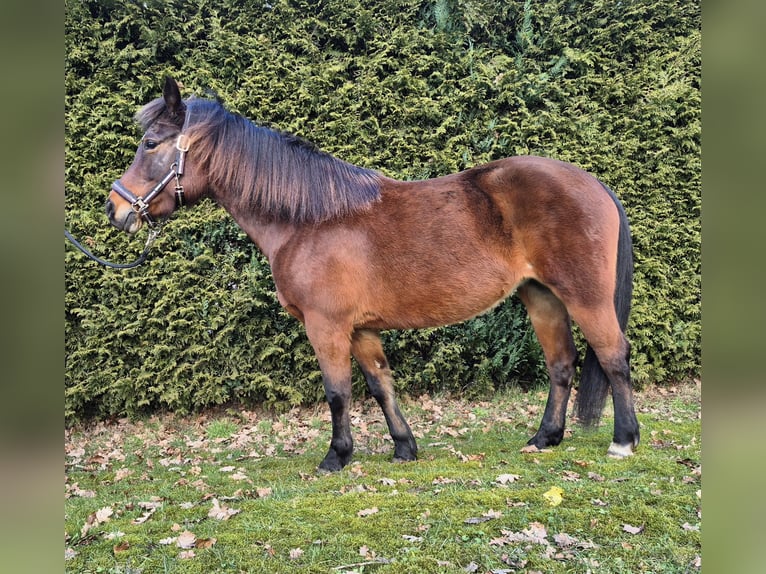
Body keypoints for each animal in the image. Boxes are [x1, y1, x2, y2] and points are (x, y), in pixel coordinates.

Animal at [105, 77, 640, 472]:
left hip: (584, 297)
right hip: (541, 296)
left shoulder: (326, 326)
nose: (116, 209)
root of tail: (595, 184)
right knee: (561, 363)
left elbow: (338, 393)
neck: (309, 220)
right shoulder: (361, 329)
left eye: (150, 144)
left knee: (613, 355)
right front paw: (404, 448)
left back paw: (623, 440)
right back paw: (545, 437)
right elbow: (381, 385)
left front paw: (336, 457)